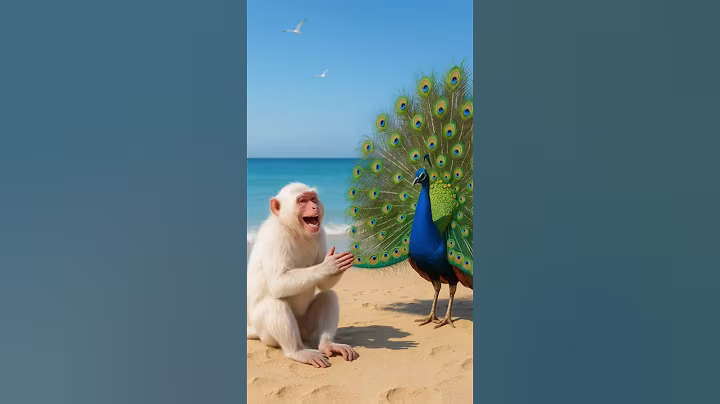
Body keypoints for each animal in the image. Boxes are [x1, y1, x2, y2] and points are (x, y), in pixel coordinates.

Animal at [246, 182, 360, 368]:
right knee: (275, 303)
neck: (295, 230)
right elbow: (277, 283)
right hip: (267, 335)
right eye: (302, 201)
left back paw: (327, 343)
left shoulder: (320, 233)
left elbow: (324, 285)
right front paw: (328, 266)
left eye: (313, 199)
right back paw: (297, 351)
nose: (314, 206)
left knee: (328, 296)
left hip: (306, 329)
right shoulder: (275, 237)